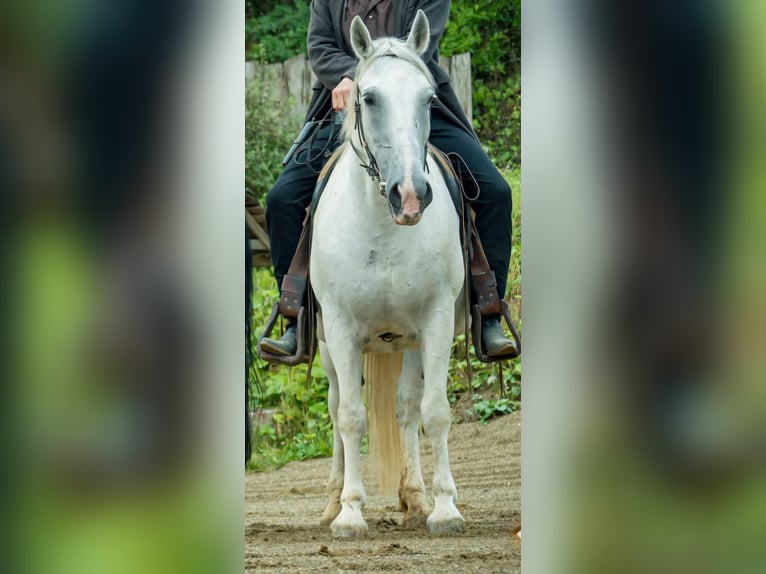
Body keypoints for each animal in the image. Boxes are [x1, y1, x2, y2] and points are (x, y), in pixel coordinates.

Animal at [310, 10, 466, 538]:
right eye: (368, 97)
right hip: (329, 348)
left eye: (430, 98)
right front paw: (351, 513)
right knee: (337, 405)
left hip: (409, 342)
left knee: (405, 407)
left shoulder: (437, 321)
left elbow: (434, 412)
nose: (411, 195)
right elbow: (351, 418)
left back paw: (415, 497)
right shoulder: (340, 328)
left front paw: (444, 508)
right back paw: (332, 502)